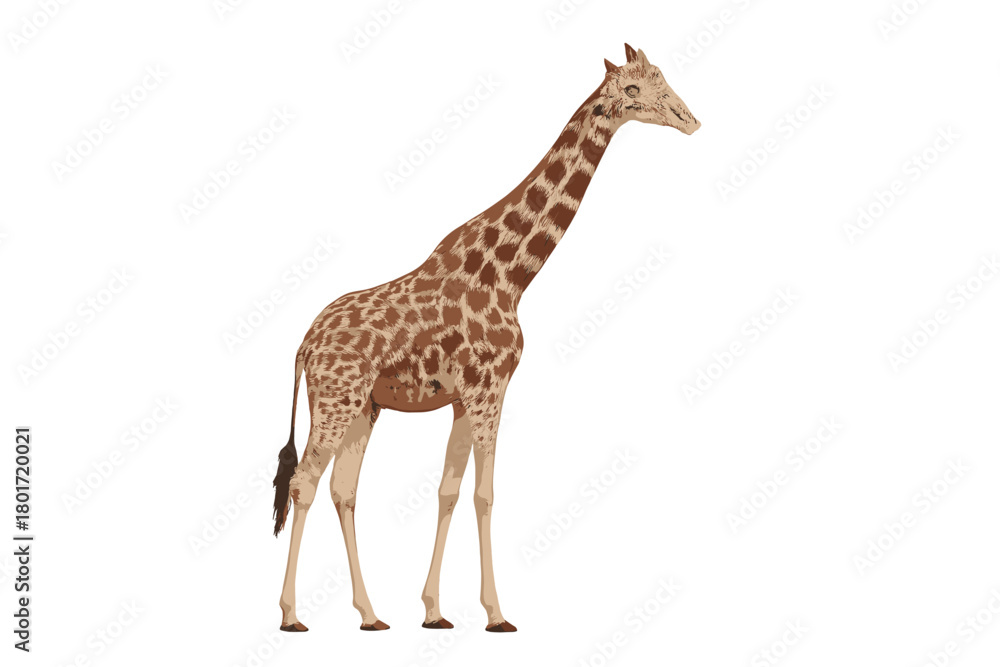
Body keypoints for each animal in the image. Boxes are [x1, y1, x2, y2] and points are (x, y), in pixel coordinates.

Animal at [272, 43, 700, 633]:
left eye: (661, 76)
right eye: (634, 89)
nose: (690, 119)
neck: (511, 275)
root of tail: (303, 345)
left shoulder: (461, 398)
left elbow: (449, 491)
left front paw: (434, 610)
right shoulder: (488, 389)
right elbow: (485, 493)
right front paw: (496, 613)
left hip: (363, 407)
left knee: (343, 489)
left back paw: (370, 614)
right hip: (335, 399)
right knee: (304, 483)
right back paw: (291, 615)